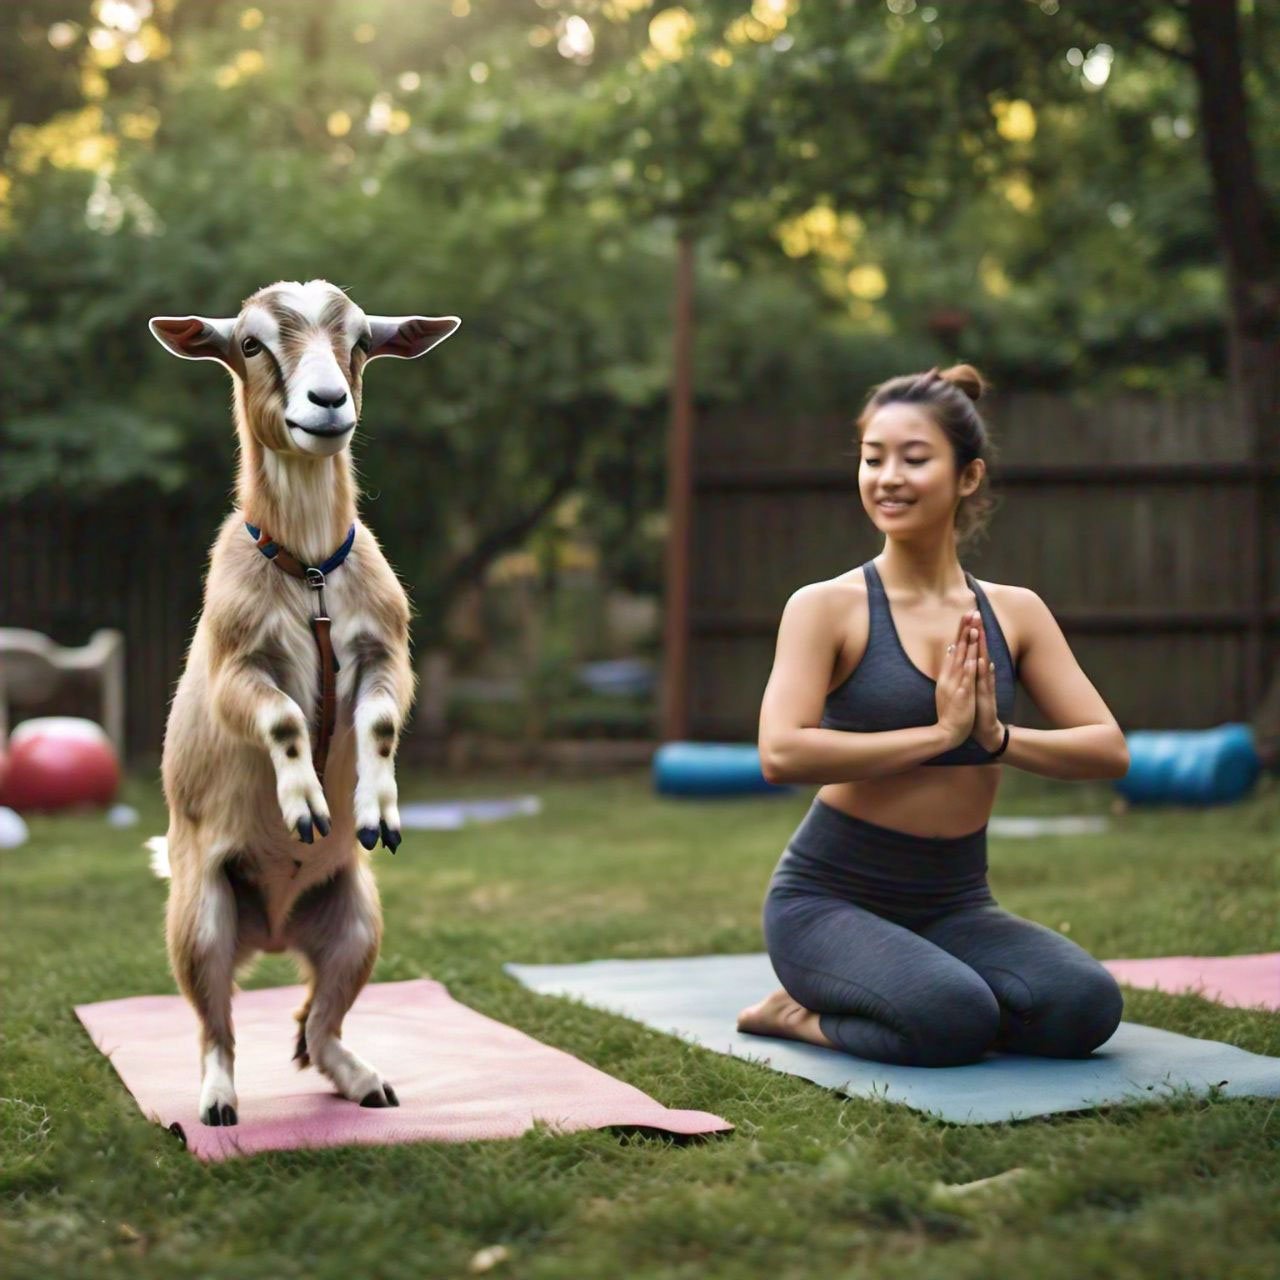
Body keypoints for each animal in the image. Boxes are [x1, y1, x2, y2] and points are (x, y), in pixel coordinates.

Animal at [149, 277, 460, 1121]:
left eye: (361, 342)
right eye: (252, 343)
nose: (326, 403)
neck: (310, 571)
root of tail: (274, 933)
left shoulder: (385, 651)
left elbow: (380, 720)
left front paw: (375, 810)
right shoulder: (236, 667)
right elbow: (286, 717)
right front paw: (306, 807)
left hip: (356, 920)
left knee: (316, 1020)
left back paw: (365, 1080)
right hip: (200, 917)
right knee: (214, 1019)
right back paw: (218, 1101)